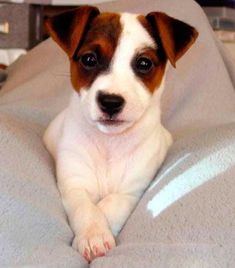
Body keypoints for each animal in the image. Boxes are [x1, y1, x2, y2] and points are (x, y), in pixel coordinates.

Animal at [43, 5, 197, 262]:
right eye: (89, 59)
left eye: (144, 63)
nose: (110, 102)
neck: (109, 143)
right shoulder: (74, 184)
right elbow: (87, 208)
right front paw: (93, 235)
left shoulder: (132, 191)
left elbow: (110, 205)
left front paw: (98, 234)